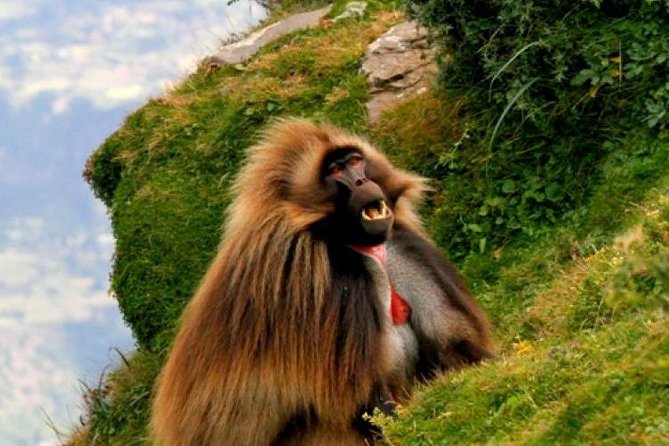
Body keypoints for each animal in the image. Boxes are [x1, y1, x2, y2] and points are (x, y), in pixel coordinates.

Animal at [150, 118, 493, 446]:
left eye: (355, 161)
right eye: (336, 170)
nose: (361, 182)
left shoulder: (402, 250)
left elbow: (455, 350)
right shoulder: (322, 282)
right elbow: (365, 396)